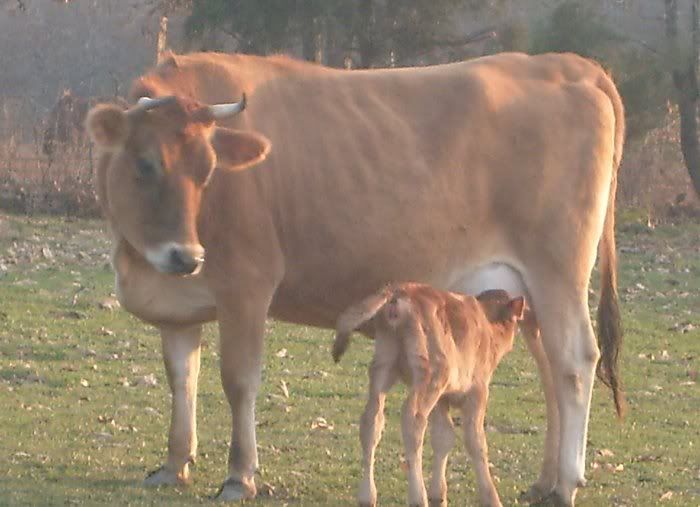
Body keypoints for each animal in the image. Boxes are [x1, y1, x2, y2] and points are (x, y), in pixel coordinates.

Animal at [333, 284, 525, 507]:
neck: (486, 322)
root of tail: (398, 291)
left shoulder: (441, 400)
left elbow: (443, 437)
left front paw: (438, 494)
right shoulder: (477, 392)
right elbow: (475, 442)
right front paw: (491, 498)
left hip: (383, 367)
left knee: (371, 421)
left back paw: (367, 496)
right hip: (430, 376)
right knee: (413, 421)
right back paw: (418, 497)